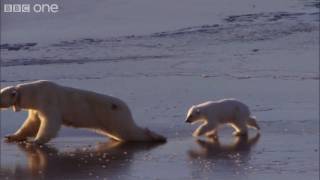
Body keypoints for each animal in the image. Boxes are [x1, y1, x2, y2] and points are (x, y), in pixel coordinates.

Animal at [0, 81, 165, 144]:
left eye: (0, 94)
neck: (34, 93)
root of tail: (124, 107)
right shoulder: (36, 108)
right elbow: (32, 123)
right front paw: (11, 136)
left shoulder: (48, 100)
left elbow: (50, 122)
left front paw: (35, 141)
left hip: (113, 116)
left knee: (129, 131)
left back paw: (157, 136)